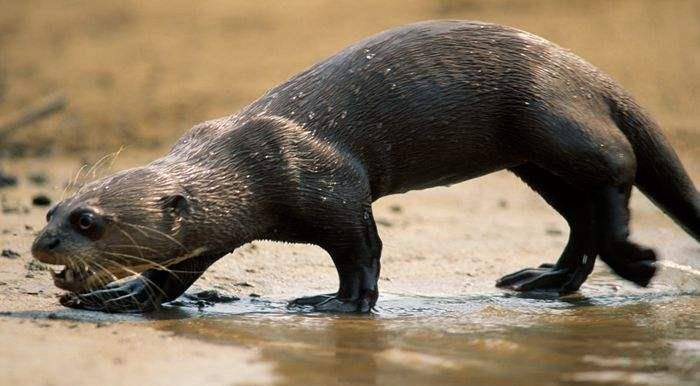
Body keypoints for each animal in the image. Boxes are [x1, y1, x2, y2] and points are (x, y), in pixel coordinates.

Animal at [31, 20, 700, 314]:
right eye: (53, 209)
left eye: (89, 222)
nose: (43, 244)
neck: (248, 170)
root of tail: (584, 68)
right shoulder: (213, 231)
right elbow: (173, 274)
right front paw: (119, 293)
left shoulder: (333, 186)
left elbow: (362, 252)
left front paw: (337, 305)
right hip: (535, 159)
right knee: (581, 215)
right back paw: (546, 279)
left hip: (551, 115)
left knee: (615, 169)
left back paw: (632, 260)